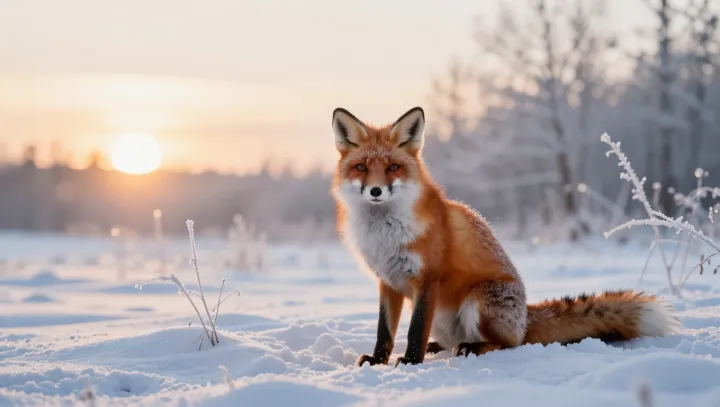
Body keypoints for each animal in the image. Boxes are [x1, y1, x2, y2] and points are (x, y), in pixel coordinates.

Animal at [330, 106, 681, 367]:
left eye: (392, 167)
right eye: (361, 167)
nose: (376, 191)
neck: (384, 232)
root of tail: (525, 318)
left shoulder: (427, 279)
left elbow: (414, 329)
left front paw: (410, 361)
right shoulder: (387, 281)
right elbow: (385, 331)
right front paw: (378, 361)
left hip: (480, 299)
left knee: (508, 343)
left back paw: (472, 348)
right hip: (447, 317)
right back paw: (439, 347)